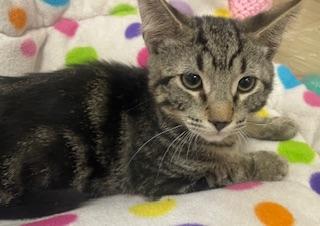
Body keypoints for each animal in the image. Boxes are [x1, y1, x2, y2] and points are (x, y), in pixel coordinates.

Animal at [0, 0, 300, 220]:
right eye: (192, 80)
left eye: (246, 83)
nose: (219, 121)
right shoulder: (159, 177)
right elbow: (228, 167)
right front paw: (267, 162)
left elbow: (244, 124)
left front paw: (275, 124)